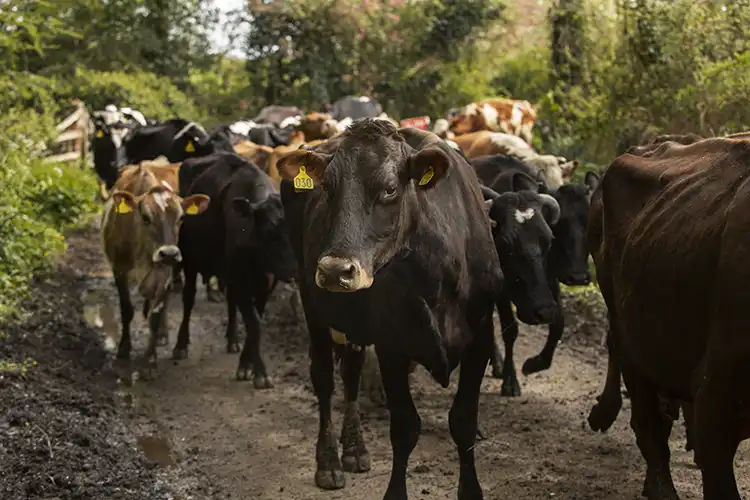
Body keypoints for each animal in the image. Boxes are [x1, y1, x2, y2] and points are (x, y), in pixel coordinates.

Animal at [100, 160, 210, 379]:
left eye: (181, 218)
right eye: (145, 217)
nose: (169, 253)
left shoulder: (164, 273)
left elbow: (155, 315)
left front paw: (149, 362)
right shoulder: (119, 269)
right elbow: (126, 309)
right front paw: (123, 350)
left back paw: (164, 335)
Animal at [174, 152, 297, 387]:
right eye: (269, 232)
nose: (292, 271)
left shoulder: (265, 284)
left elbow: (255, 322)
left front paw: (247, 366)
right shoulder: (240, 280)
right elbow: (255, 325)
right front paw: (260, 373)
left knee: (230, 302)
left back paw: (232, 340)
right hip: (191, 262)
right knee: (188, 299)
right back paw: (181, 345)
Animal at [276, 119, 502, 497]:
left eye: (389, 189)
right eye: (327, 189)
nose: (335, 270)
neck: (435, 277)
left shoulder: (481, 338)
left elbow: (464, 421)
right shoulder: (392, 344)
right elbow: (405, 427)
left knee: (350, 373)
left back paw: (354, 449)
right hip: (313, 306)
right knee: (324, 379)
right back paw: (329, 462)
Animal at [472, 154, 599, 393]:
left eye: (549, 238)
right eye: (561, 225)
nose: (578, 277)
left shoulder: (550, 281)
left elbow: (559, 323)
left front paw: (535, 363)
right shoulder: (502, 291)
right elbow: (510, 329)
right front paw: (510, 380)